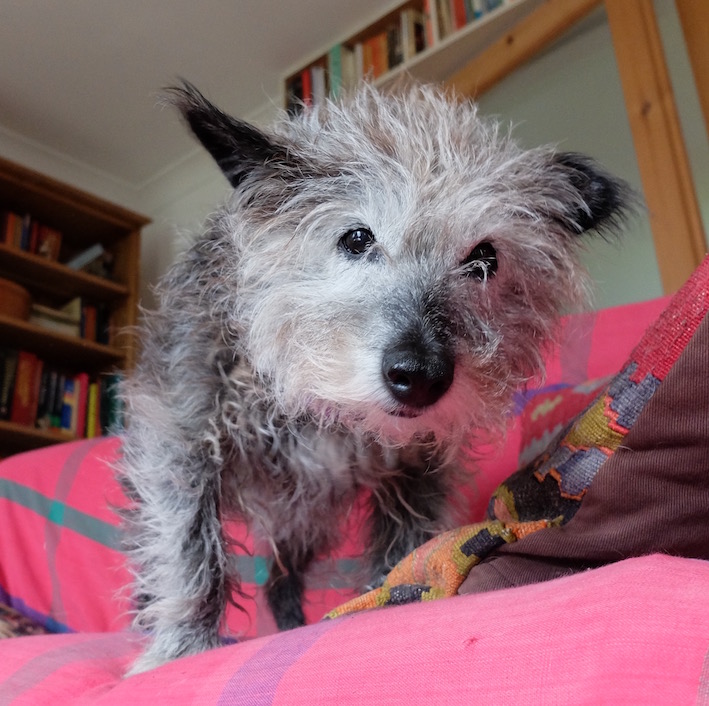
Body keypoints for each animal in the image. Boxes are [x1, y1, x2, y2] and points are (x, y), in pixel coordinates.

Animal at [118, 80, 630, 673]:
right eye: (357, 238)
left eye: (484, 258)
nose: (421, 376)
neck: (322, 407)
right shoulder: (182, 444)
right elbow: (190, 550)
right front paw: (179, 651)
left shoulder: (416, 474)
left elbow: (403, 548)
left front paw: (390, 600)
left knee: (281, 579)